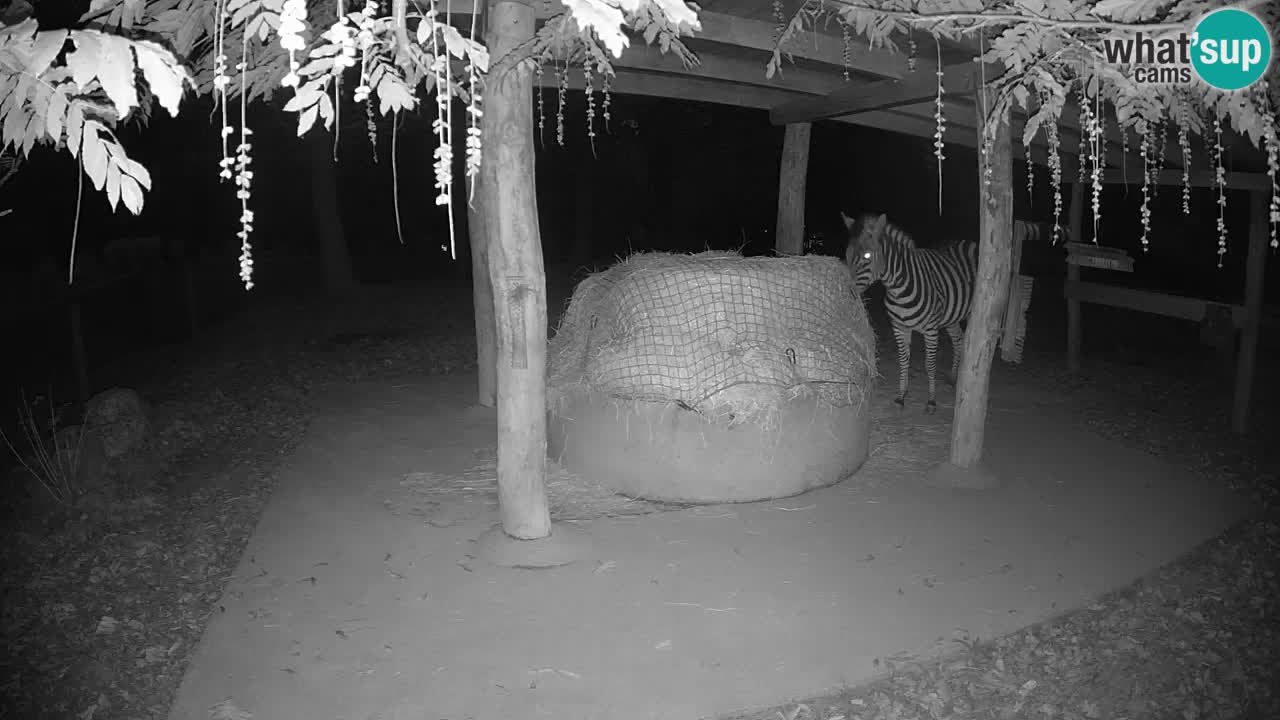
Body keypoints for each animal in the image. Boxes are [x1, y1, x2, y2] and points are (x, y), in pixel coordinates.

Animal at [839, 210, 977, 412]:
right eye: (847, 254)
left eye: (867, 255)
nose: (847, 292)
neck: (898, 289)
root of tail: (968, 241)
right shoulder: (899, 327)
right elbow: (904, 360)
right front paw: (901, 396)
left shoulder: (931, 329)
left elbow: (930, 365)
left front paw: (931, 401)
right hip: (952, 317)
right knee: (958, 341)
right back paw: (953, 378)